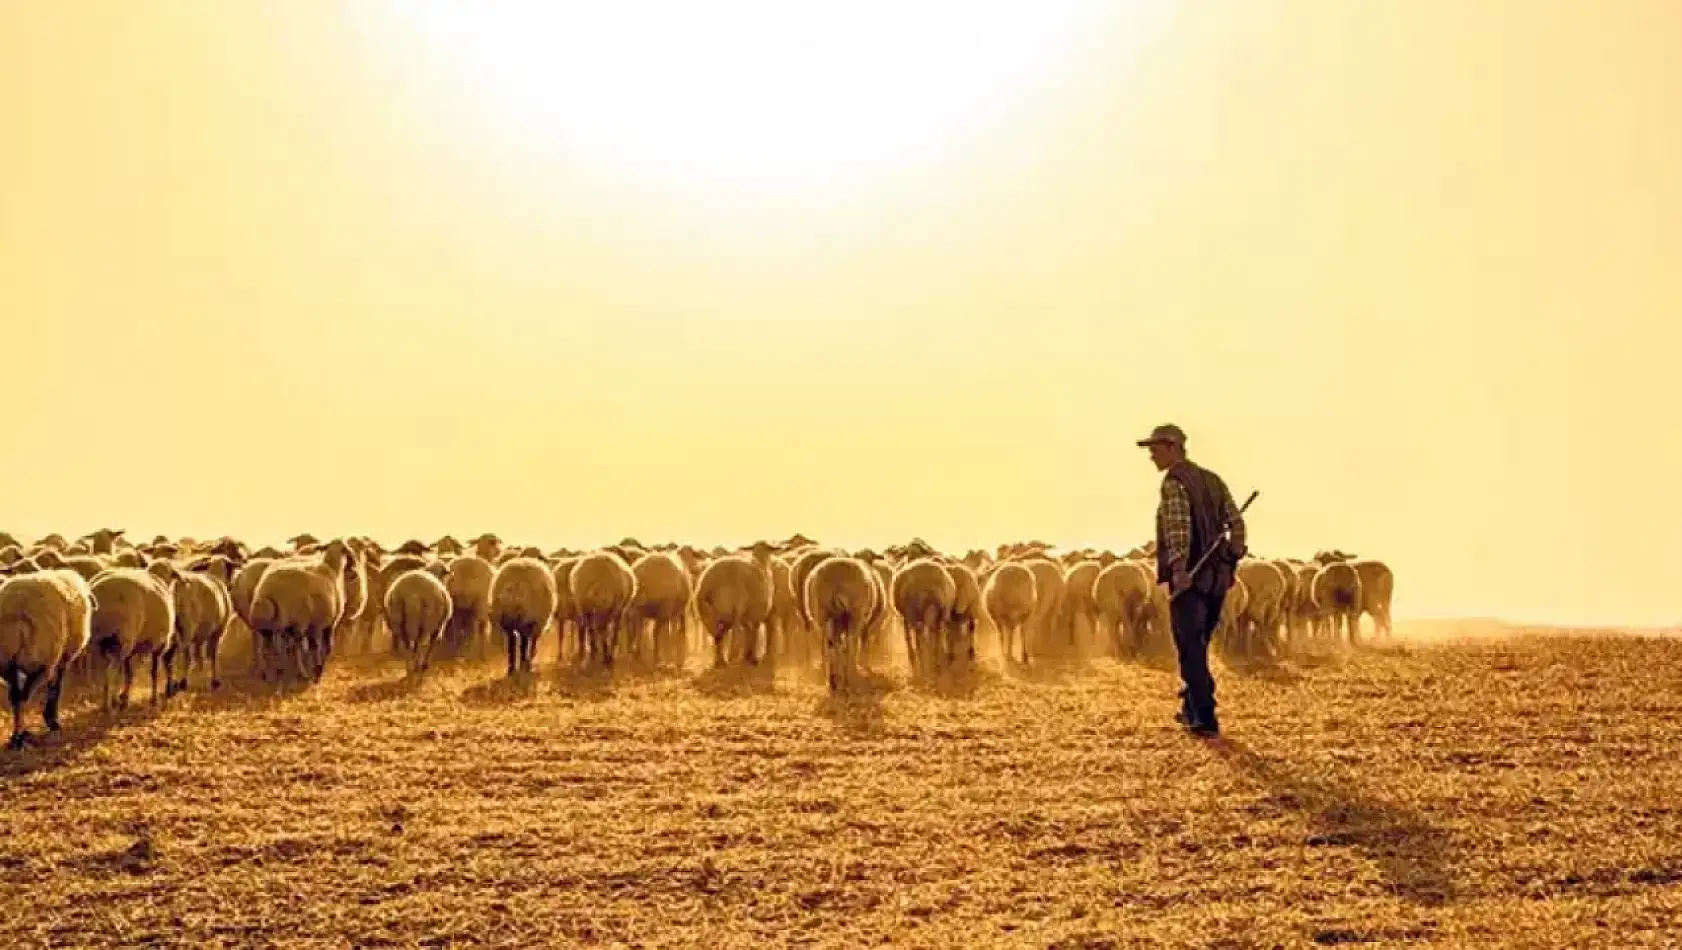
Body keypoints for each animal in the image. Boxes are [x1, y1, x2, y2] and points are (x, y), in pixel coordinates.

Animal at [0, 571, 94, 749]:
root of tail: (18, 610)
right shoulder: (61, 658)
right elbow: (56, 687)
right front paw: (52, 720)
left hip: (8, 663)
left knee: (16, 697)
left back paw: (16, 736)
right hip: (41, 661)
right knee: (23, 697)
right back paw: (20, 736)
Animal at [491, 551, 561, 679]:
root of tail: (514, 586)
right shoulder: (537, 624)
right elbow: (531, 644)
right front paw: (529, 661)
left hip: (507, 621)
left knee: (512, 642)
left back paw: (512, 669)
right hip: (526, 618)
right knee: (523, 643)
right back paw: (524, 665)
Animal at [803, 554, 881, 689]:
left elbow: (837, 645)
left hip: (823, 613)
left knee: (828, 645)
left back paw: (833, 680)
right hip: (854, 613)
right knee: (849, 645)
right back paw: (848, 679)